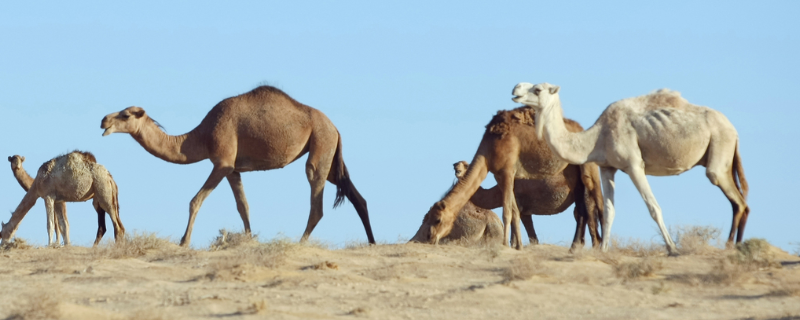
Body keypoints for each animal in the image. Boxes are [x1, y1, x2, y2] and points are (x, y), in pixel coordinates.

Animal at [100, 85, 376, 248]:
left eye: (125, 114)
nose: (103, 120)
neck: (202, 136)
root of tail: (335, 127)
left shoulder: (222, 163)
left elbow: (195, 200)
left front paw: (183, 242)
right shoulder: (233, 170)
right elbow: (243, 206)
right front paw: (249, 240)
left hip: (320, 143)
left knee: (317, 200)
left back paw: (300, 243)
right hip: (328, 155)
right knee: (356, 196)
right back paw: (372, 242)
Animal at [424, 106, 608, 249]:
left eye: (438, 220)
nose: (430, 238)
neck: (488, 149)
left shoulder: (507, 171)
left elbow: (507, 211)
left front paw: (505, 244)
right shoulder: (499, 175)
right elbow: (514, 211)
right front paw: (518, 245)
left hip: (588, 165)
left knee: (598, 202)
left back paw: (601, 247)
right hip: (571, 171)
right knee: (581, 209)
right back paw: (575, 246)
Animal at [512, 82, 752, 255]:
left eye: (537, 89)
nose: (515, 90)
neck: (596, 137)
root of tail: (734, 130)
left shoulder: (635, 165)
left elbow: (653, 207)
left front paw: (672, 248)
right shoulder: (607, 167)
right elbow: (609, 211)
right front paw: (604, 250)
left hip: (719, 147)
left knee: (736, 200)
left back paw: (731, 246)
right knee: (741, 203)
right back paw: (738, 246)